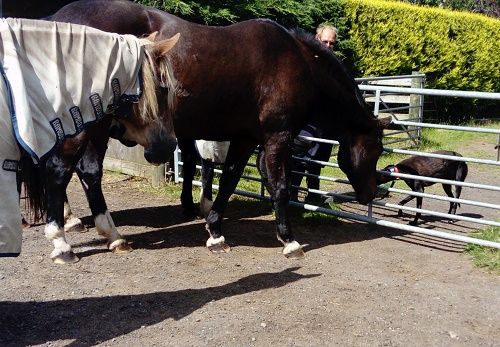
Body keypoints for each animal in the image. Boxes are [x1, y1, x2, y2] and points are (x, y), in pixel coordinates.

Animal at [48, 0, 390, 260]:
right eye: (377, 148)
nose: (371, 192)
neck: (299, 63)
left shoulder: (246, 139)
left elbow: (228, 181)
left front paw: (214, 232)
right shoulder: (277, 138)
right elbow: (280, 187)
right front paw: (289, 241)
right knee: (67, 171)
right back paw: (73, 241)